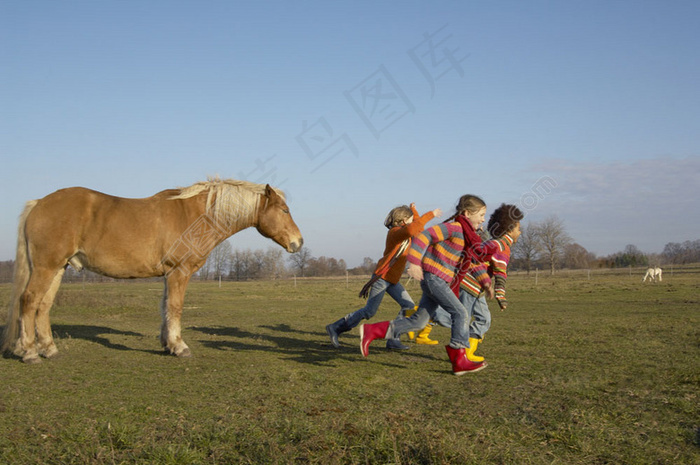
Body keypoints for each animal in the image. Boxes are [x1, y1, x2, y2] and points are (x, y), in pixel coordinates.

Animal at [2, 178, 304, 362]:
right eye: (284, 210)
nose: (298, 242)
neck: (196, 216)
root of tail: (39, 203)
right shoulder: (180, 272)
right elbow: (175, 307)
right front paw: (179, 346)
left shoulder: (169, 275)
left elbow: (165, 307)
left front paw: (167, 344)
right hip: (46, 266)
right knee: (29, 301)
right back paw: (29, 352)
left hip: (58, 268)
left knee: (43, 306)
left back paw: (49, 349)